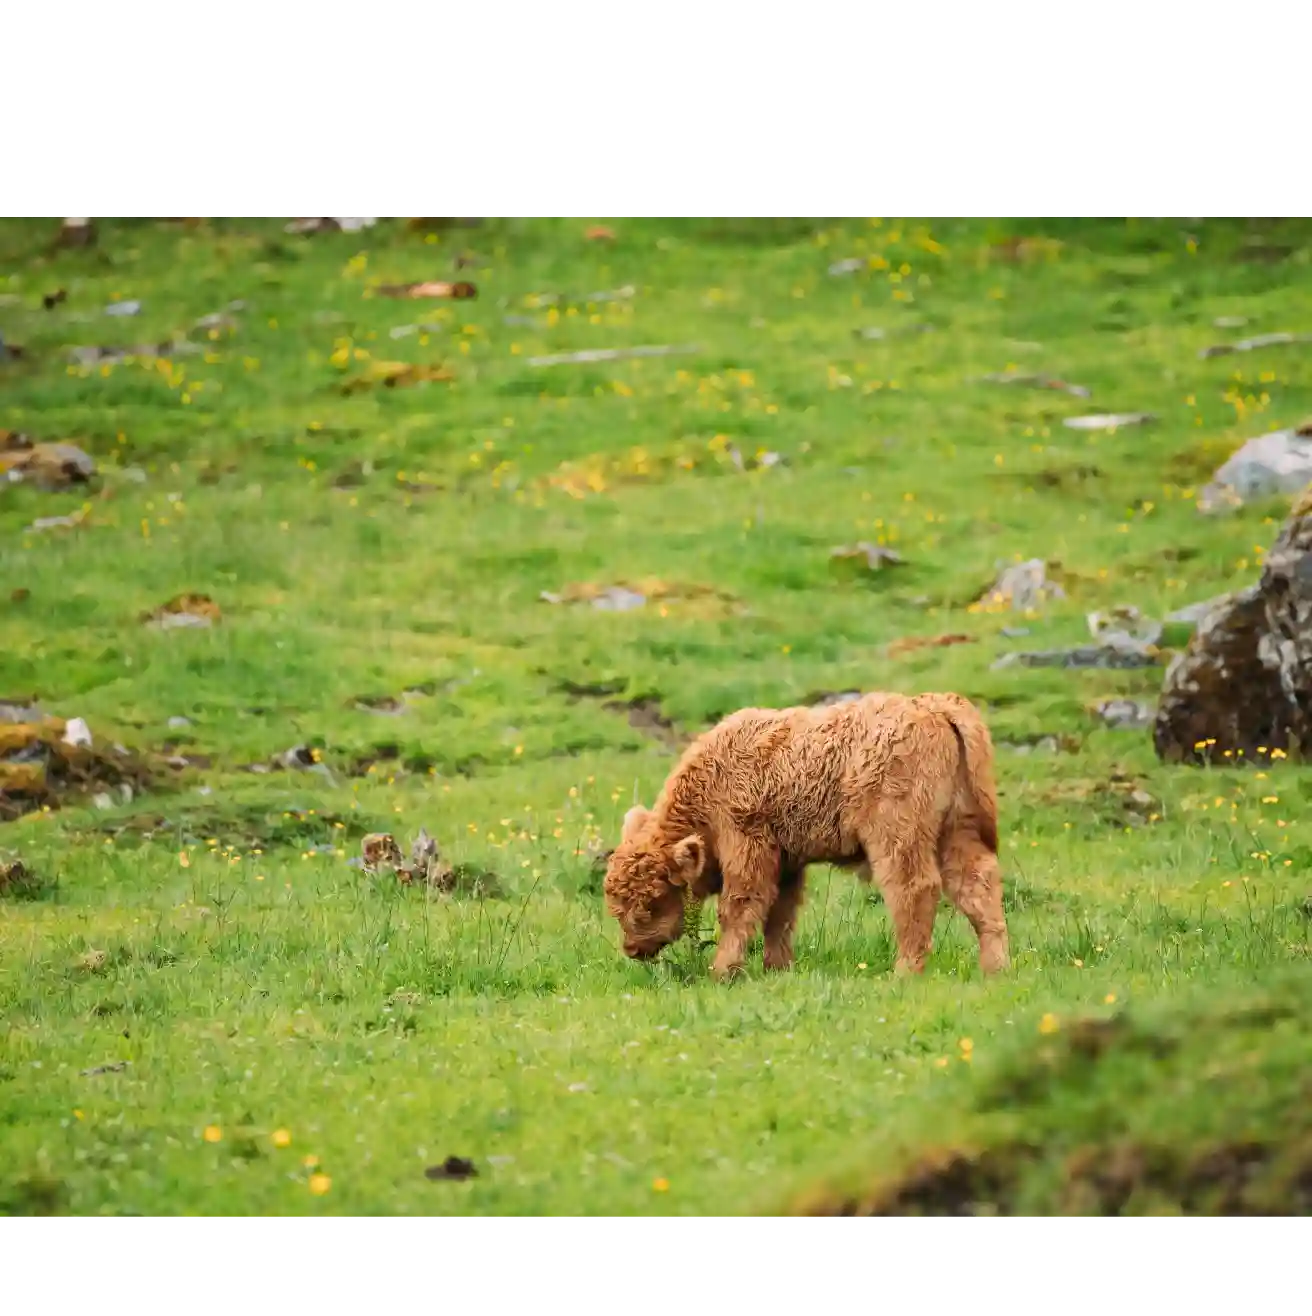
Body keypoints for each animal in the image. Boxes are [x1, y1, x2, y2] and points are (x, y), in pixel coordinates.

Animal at [600, 689, 1010, 979]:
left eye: (653, 900)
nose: (632, 949)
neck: (713, 780)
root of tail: (932, 706)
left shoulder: (748, 849)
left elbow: (739, 908)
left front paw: (722, 971)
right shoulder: (786, 863)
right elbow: (779, 915)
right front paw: (777, 968)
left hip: (897, 836)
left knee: (915, 889)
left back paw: (905, 972)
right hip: (956, 831)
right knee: (977, 885)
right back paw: (995, 970)